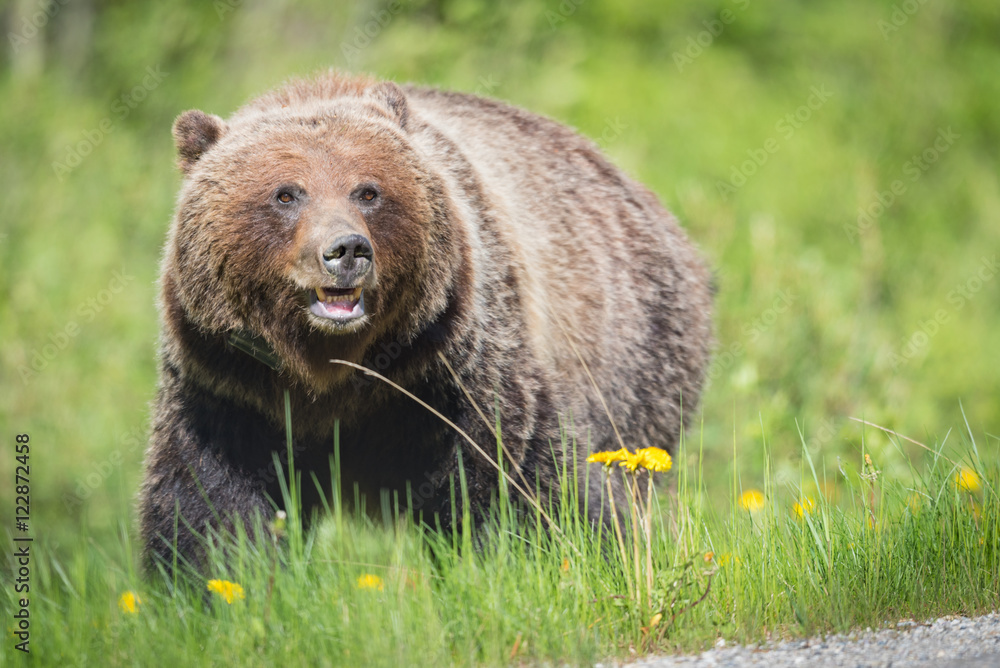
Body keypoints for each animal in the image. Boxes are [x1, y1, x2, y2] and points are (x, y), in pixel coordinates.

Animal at [138, 71, 713, 573]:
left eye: (367, 191)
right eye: (286, 193)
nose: (346, 250)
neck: (330, 373)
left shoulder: (451, 366)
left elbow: (517, 473)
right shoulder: (229, 383)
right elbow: (209, 501)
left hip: (635, 357)